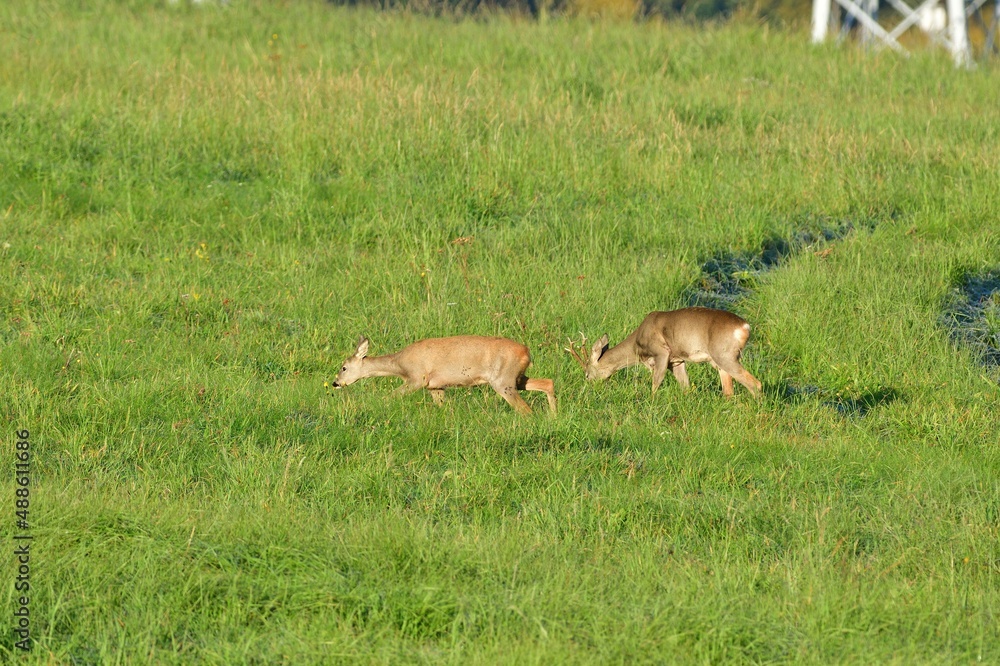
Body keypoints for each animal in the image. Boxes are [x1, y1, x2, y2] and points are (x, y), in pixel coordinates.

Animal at [331, 335, 557, 414]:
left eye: (344, 367)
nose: (335, 383)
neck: (400, 364)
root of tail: (526, 351)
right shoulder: (435, 387)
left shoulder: (417, 378)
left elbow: (391, 396)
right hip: (517, 379)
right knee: (548, 382)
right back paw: (554, 416)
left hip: (503, 381)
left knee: (526, 409)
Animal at [566, 307, 762, 398]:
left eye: (587, 374)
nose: (589, 388)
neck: (636, 345)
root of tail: (745, 327)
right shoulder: (677, 361)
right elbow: (685, 386)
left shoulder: (661, 352)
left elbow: (655, 383)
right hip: (720, 361)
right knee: (729, 391)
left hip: (725, 355)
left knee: (755, 384)